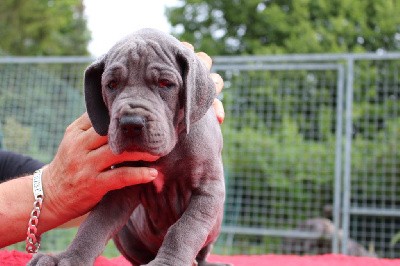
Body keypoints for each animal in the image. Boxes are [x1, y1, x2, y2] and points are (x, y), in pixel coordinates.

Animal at [28, 28, 228, 264]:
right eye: (111, 85)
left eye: (165, 83)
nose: (130, 123)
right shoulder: (120, 185)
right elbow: (95, 224)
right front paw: (69, 257)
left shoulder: (208, 189)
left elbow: (185, 228)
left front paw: (167, 262)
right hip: (126, 234)